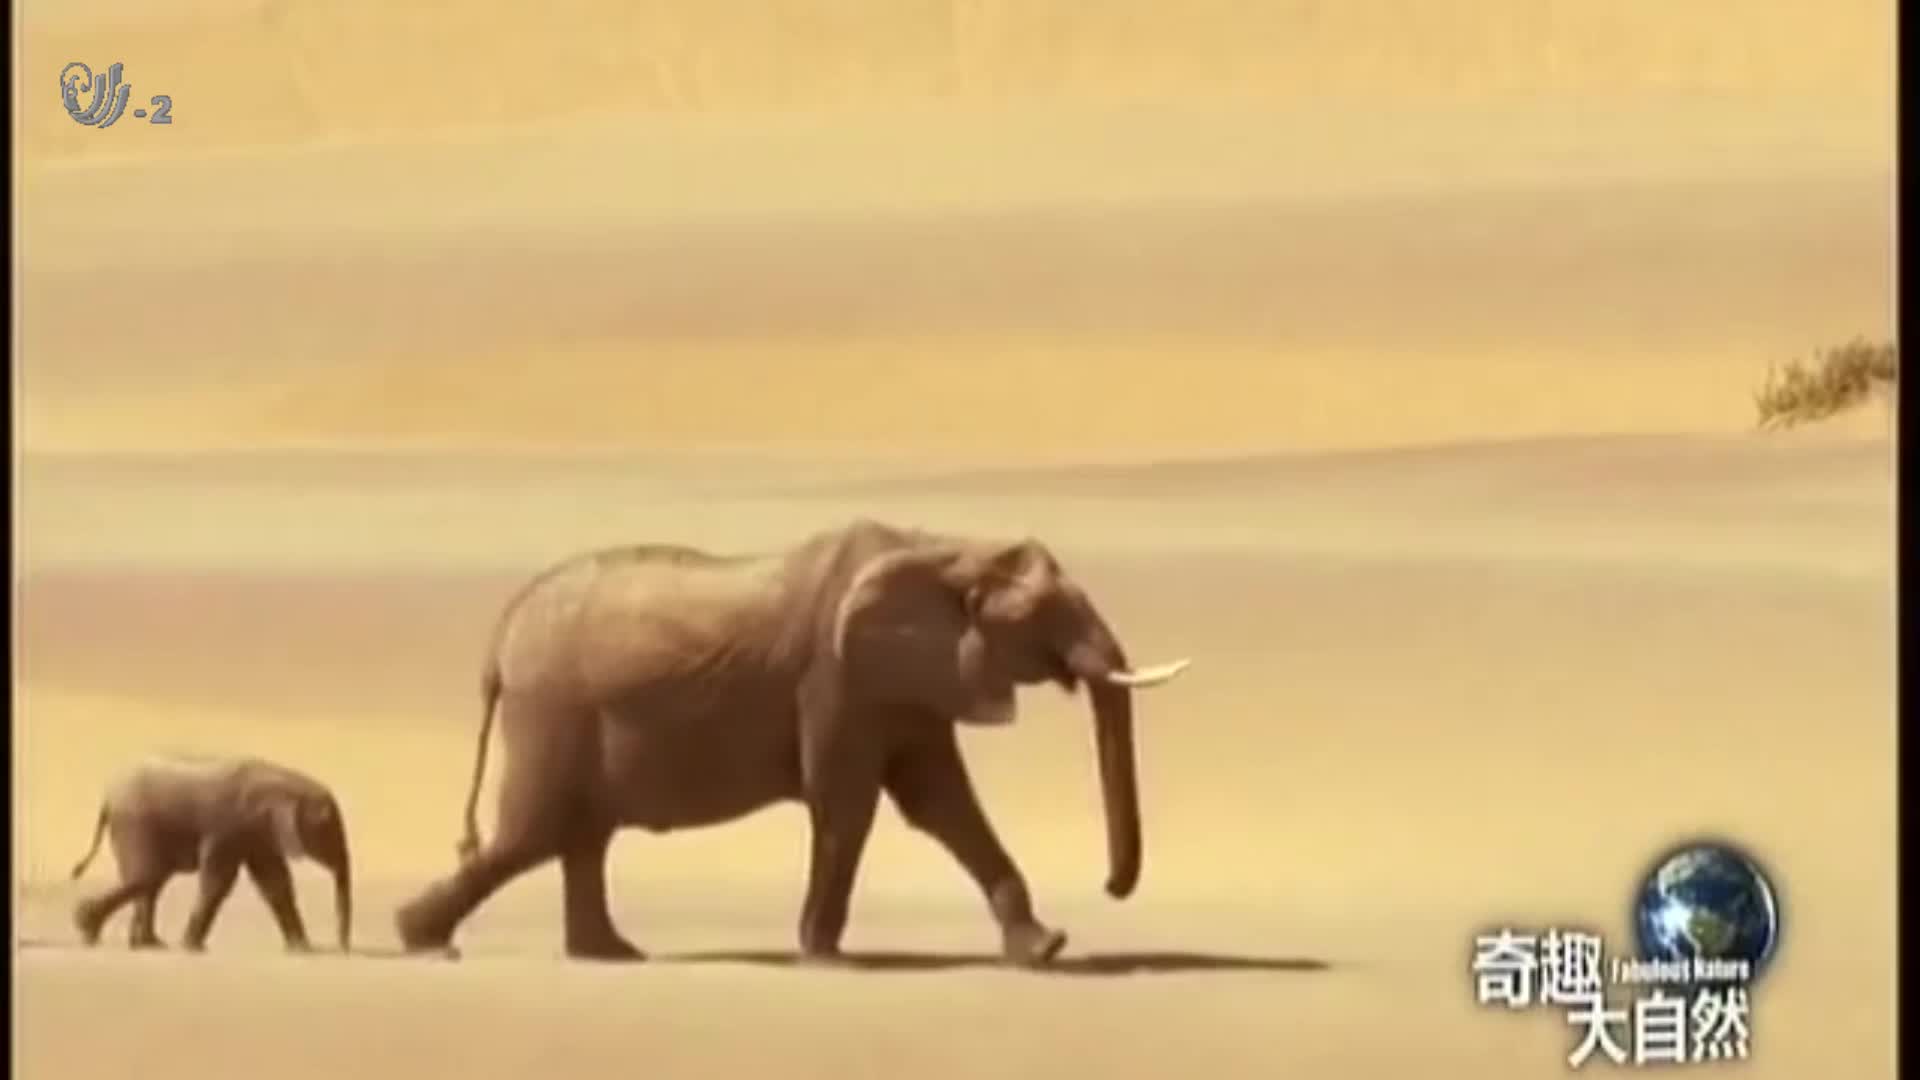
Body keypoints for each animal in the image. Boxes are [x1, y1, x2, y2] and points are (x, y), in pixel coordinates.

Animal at [69, 754, 353, 953]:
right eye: (328, 828)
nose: (342, 948)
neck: (283, 784)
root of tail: (107, 800)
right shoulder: (228, 826)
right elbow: (219, 881)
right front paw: (191, 948)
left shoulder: (258, 833)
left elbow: (274, 882)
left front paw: (302, 949)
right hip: (134, 825)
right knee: (147, 876)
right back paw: (87, 927)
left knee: (151, 881)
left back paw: (147, 944)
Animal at [394, 518, 1190, 966]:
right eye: (1039, 611)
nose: (1112, 886)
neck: (944, 548)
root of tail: (501, 633)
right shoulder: (835, 675)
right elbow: (848, 804)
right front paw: (825, 959)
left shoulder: (902, 677)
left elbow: (942, 803)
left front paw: (1044, 949)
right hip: (554, 711)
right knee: (533, 834)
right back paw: (421, 939)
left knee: (577, 837)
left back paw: (610, 955)